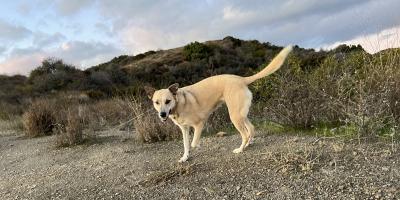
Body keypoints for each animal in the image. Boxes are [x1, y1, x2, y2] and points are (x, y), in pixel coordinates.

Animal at [145, 44, 292, 162]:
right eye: (156, 102)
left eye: (168, 101)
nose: (162, 114)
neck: (178, 104)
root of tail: (242, 79)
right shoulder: (184, 129)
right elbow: (186, 145)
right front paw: (185, 157)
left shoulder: (199, 124)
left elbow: (193, 143)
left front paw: (197, 145)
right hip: (240, 114)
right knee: (251, 129)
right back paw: (247, 145)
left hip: (234, 116)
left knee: (245, 134)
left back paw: (240, 149)